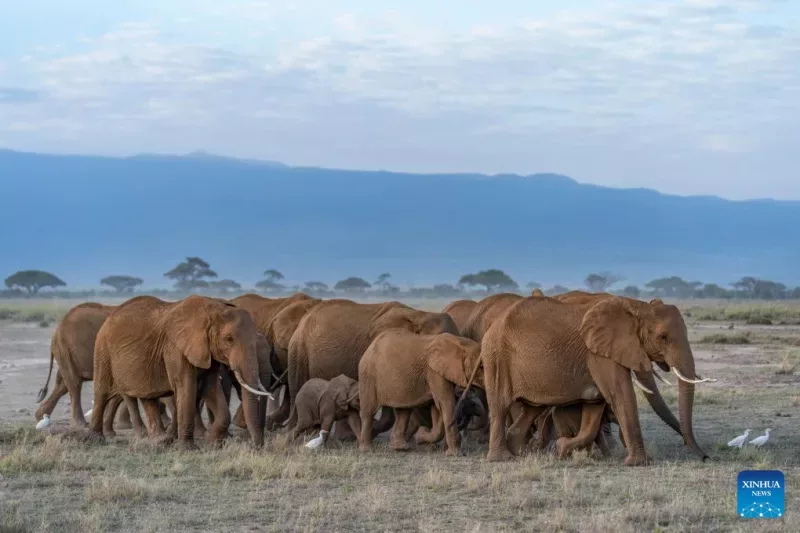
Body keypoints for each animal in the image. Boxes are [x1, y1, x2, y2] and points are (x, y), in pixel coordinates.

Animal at [35, 302, 133, 431]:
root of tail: (57, 329)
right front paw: (125, 426)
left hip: (65, 351)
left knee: (63, 383)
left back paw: (40, 416)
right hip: (66, 348)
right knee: (74, 383)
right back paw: (81, 425)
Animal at [89, 295, 272, 448]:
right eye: (229, 339)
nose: (256, 447)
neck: (213, 307)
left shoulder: (206, 351)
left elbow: (210, 388)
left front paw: (213, 441)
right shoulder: (175, 348)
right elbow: (187, 387)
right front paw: (189, 449)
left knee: (147, 396)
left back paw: (160, 441)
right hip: (102, 350)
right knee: (102, 392)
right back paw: (95, 439)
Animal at [461, 295, 715, 465]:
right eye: (662, 337)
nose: (705, 456)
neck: (637, 307)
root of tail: (492, 327)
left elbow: (596, 404)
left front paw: (562, 449)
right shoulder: (599, 354)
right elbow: (619, 394)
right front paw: (638, 463)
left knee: (531, 409)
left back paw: (521, 453)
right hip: (497, 358)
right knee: (500, 406)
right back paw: (501, 459)